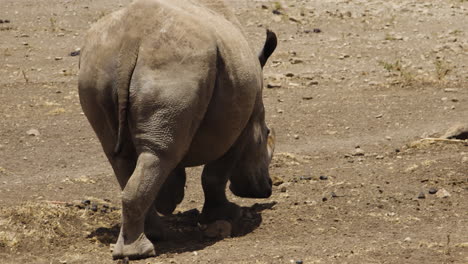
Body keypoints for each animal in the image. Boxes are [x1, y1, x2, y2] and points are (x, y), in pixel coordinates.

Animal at [78, 0, 276, 260]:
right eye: (268, 134)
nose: (266, 188)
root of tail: (131, 40)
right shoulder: (241, 125)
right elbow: (215, 174)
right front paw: (228, 214)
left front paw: (171, 199)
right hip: (177, 66)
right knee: (159, 155)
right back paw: (142, 251)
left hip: (98, 66)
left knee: (124, 155)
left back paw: (152, 237)